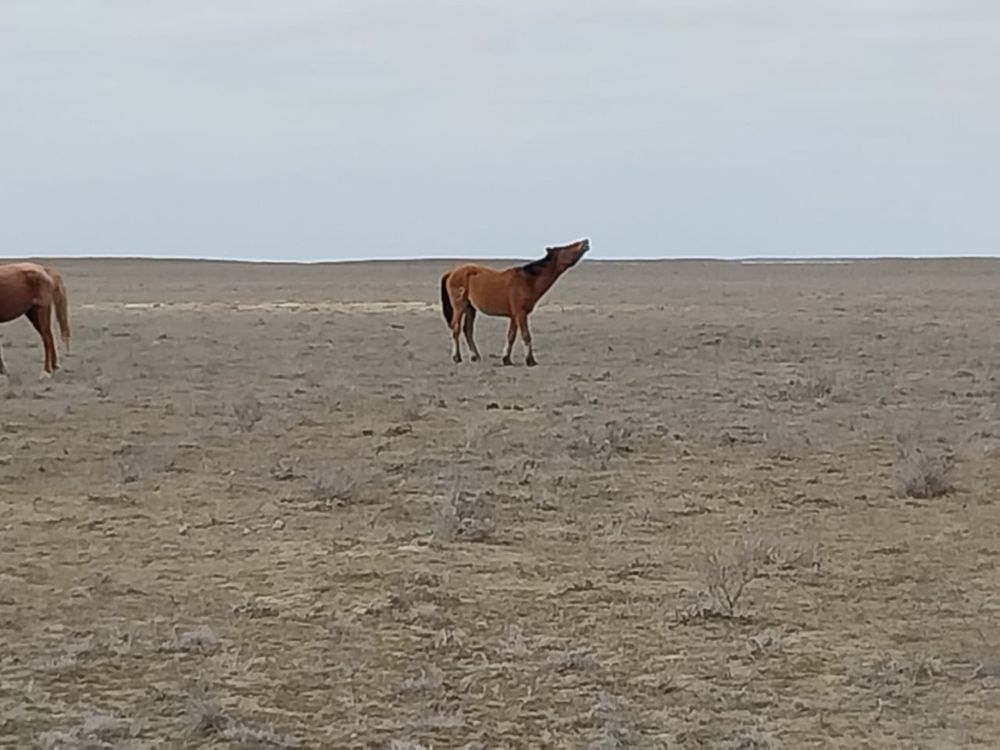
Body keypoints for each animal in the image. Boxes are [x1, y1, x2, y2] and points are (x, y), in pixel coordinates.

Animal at [442, 238, 588, 368]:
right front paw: (530, 361)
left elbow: (511, 336)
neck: (528, 281)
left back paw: (475, 356)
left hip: (471, 308)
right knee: (456, 328)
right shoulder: (520, 314)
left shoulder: (514, 316)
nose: (585, 241)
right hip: (459, 307)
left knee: (468, 330)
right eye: (567, 246)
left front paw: (506, 359)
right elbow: (526, 336)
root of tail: (452, 272)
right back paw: (457, 357)